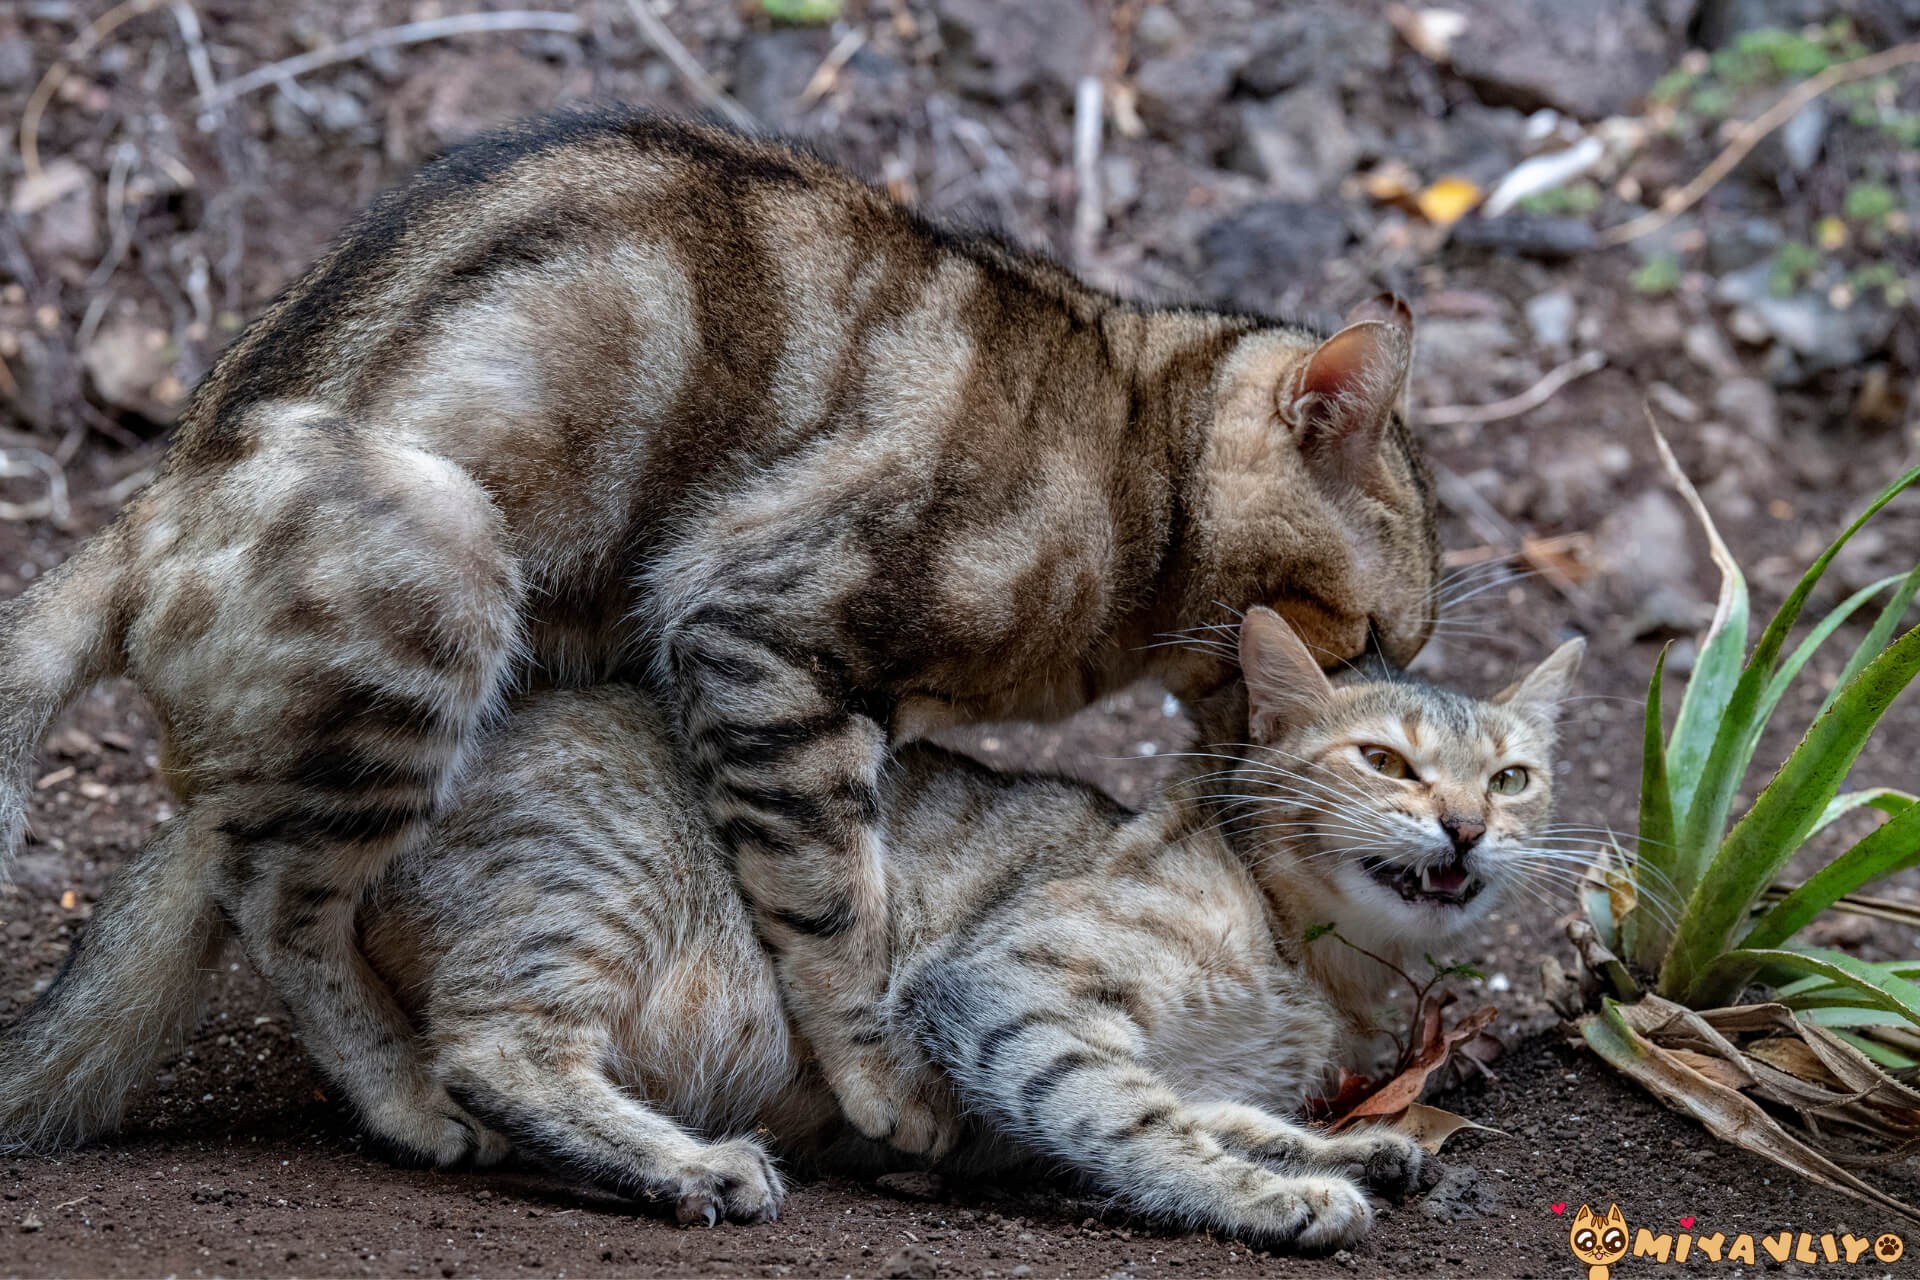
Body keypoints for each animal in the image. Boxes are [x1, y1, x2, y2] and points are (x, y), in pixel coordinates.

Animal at [0, 107, 1443, 1159]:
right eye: (1373, 633)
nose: (1342, 709)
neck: (1130, 458)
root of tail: (147, 507)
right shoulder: (757, 631)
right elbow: (835, 899)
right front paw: (882, 1083)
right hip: (444, 561)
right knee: (284, 905)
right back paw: (413, 1101)